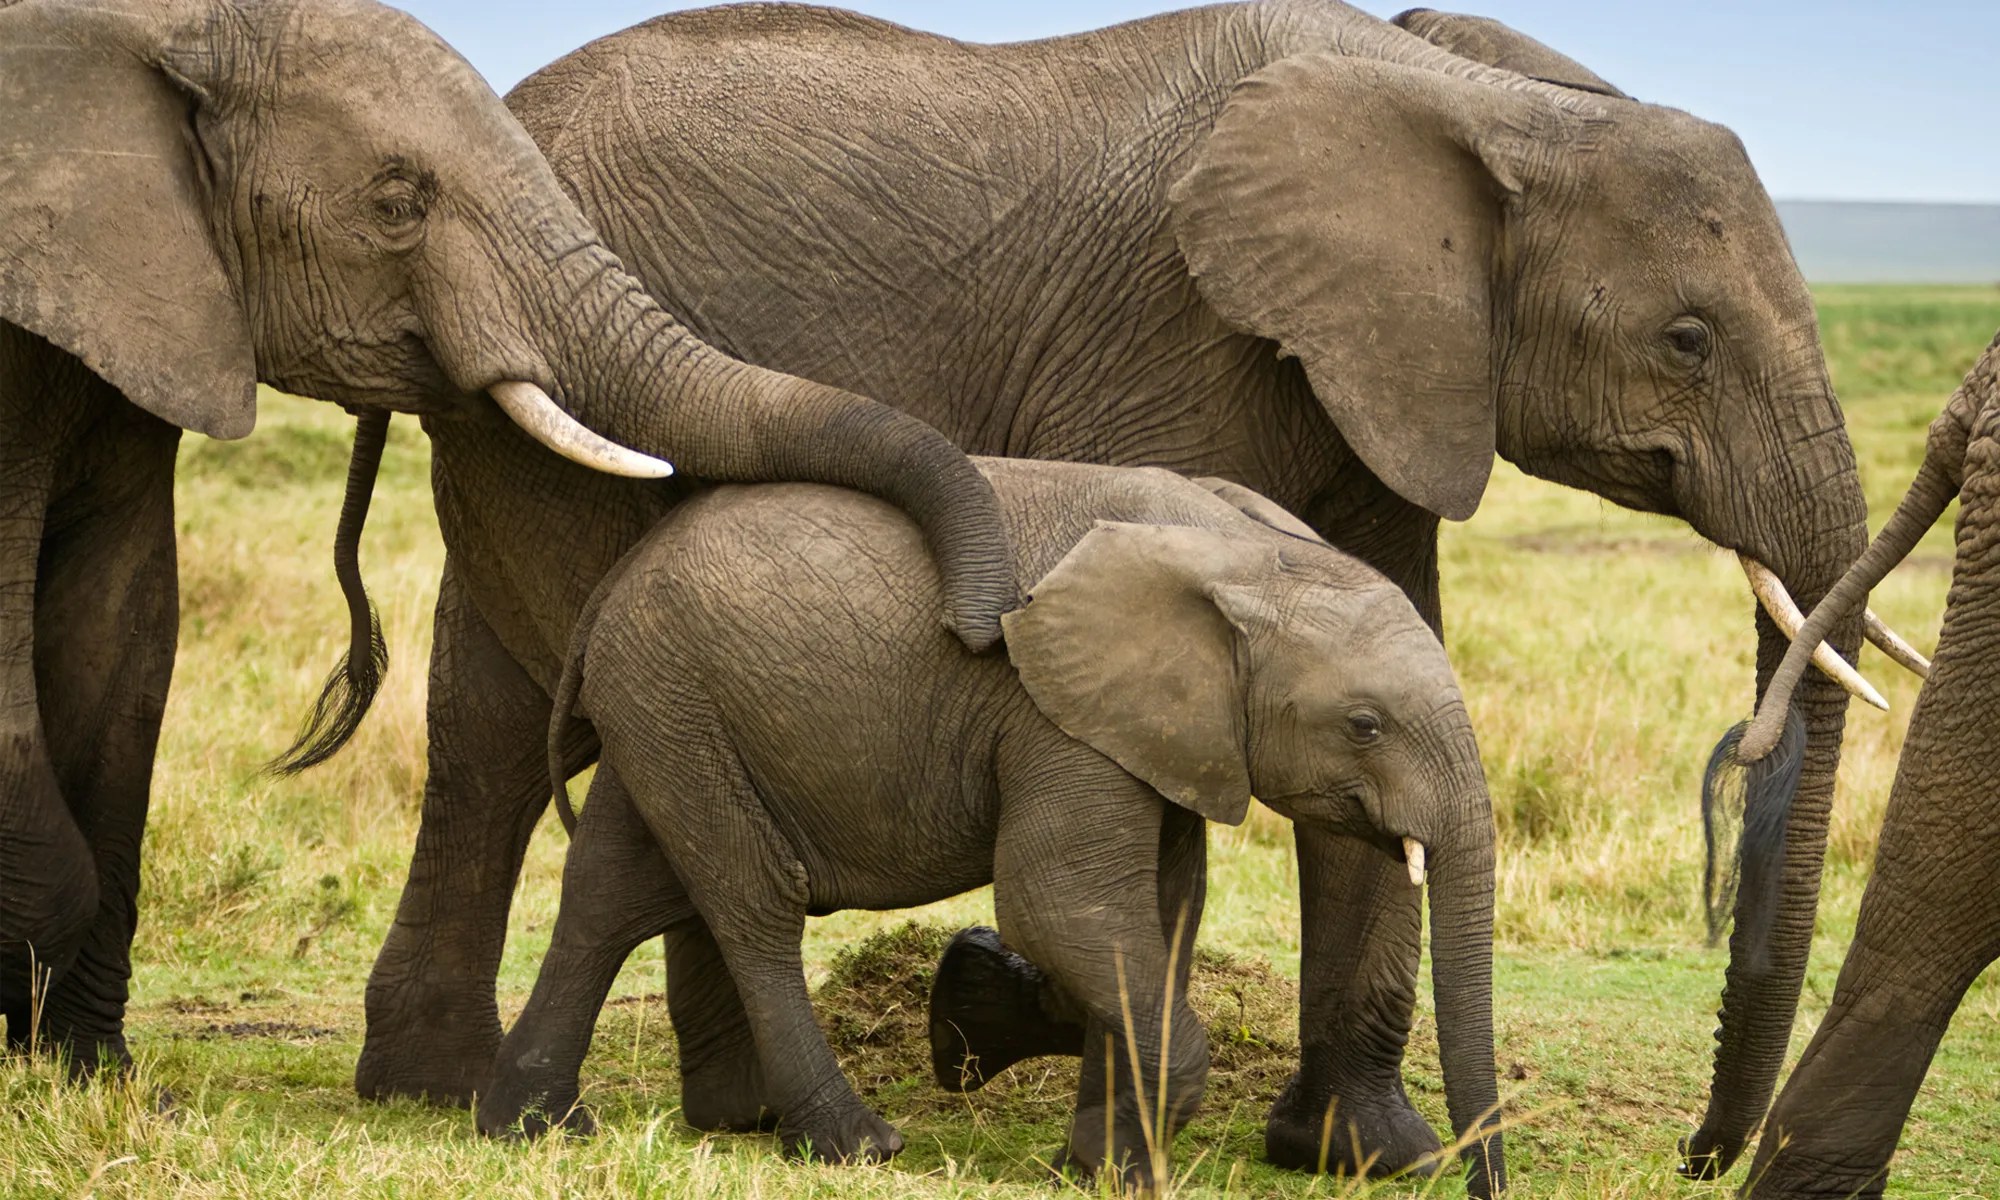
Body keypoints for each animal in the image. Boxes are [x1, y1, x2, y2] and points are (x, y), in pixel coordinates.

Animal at [475, 459, 1505, 1196]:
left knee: (610, 891)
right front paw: (1121, 1169)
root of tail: (613, 587)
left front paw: (1089, 1162)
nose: (1482, 1183)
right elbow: (1063, 905)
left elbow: (1157, 914)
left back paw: (529, 1126)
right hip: (678, 694)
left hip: (664, 702)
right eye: (1365, 725)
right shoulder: (1053, 714)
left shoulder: (1152, 730)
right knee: (753, 900)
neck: (1245, 554)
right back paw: (855, 1145)